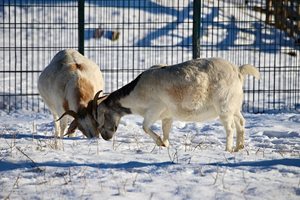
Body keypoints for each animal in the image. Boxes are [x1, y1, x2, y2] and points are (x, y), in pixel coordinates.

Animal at [95, 57, 258, 152]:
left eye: (101, 116)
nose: (105, 137)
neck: (137, 91)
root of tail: (238, 71)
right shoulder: (167, 116)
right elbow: (166, 130)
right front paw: (166, 144)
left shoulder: (155, 109)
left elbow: (145, 126)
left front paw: (160, 143)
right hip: (234, 108)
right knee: (241, 123)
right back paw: (239, 147)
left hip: (224, 108)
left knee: (230, 128)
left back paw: (228, 149)